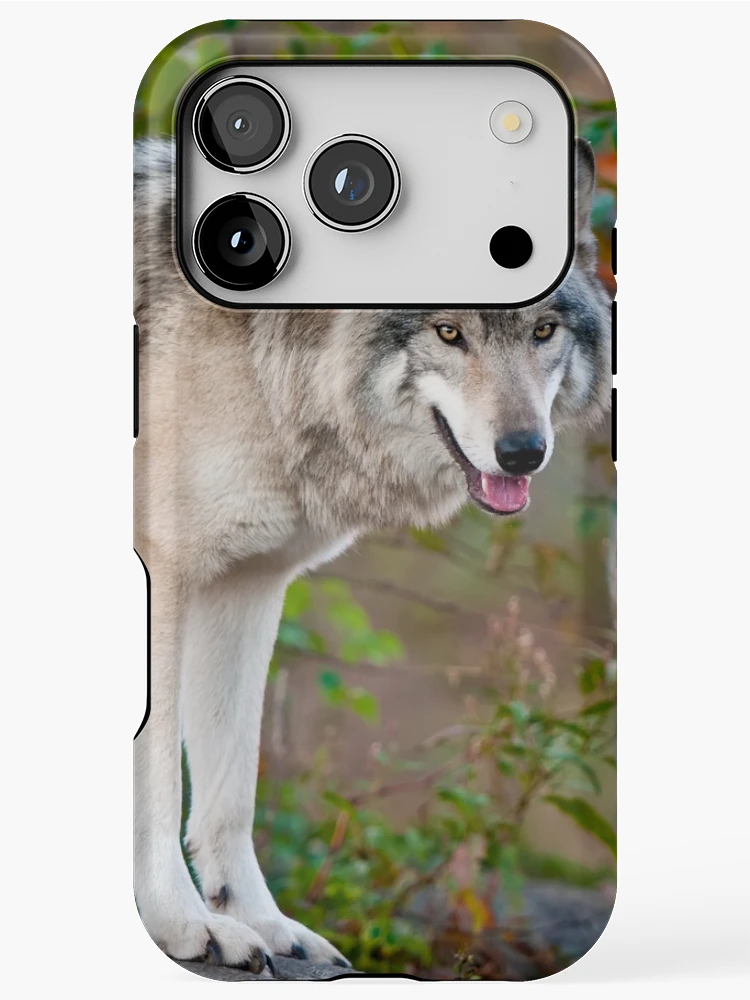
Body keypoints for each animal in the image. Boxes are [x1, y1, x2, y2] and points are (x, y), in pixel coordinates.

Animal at [133, 136, 611, 973]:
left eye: (542, 331)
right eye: (448, 333)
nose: (524, 452)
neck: (265, 368)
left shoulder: (244, 585)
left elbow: (230, 789)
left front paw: (261, 924)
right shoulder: (165, 575)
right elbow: (161, 779)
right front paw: (183, 924)